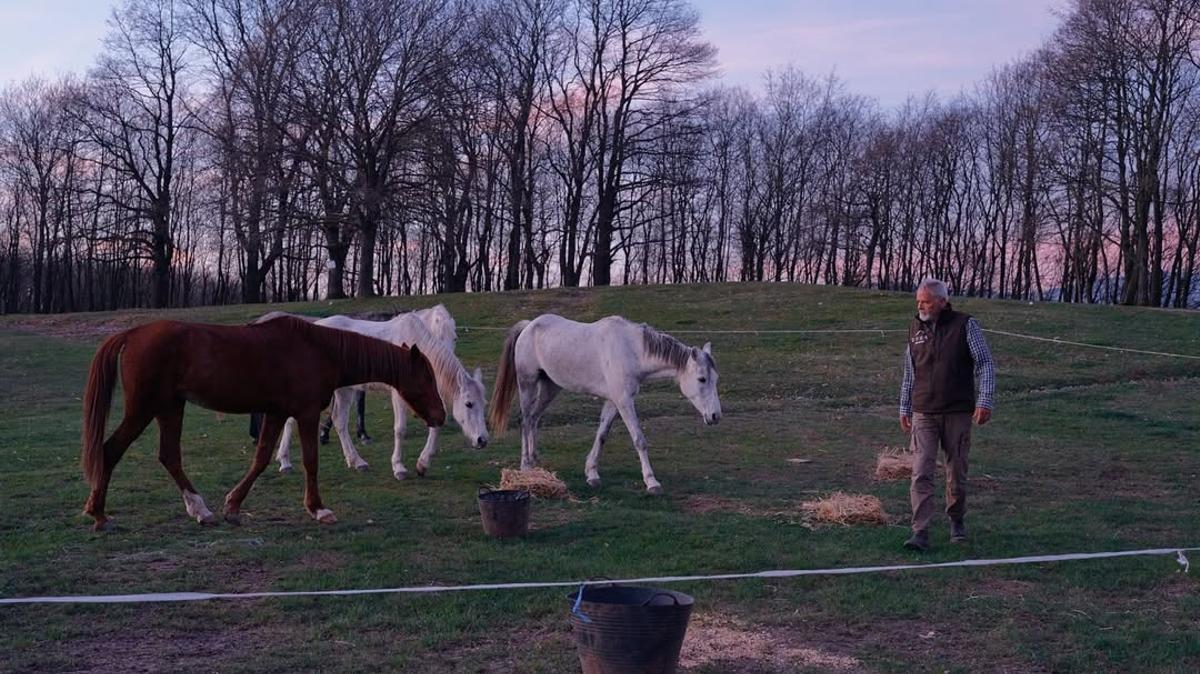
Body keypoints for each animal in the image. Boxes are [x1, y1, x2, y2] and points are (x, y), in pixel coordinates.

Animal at [79, 316, 445, 531]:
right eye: (427, 377)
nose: (440, 415)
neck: (319, 349)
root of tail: (133, 334)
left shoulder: (276, 413)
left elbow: (261, 458)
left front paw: (232, 505)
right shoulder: (306, 413)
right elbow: (310, 461)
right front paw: (318, 509)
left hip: (170, 408)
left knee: (168, 456)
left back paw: (199, 510)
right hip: (145, 408)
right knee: (111, 450)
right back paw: (99, 513)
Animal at [274, 306, 487, 480]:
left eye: (483, 404)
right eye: (469, 404)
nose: (482, 440)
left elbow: (435, 424)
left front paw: (422, 464)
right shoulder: (399, 395)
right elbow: (400, 429)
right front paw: (399, 468)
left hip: (344, 389)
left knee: (339, 421)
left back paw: (356, 461)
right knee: (293, 419)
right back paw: (285, 462)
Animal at [489, 314, 721, 494]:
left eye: (715, 379)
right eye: (702, 379)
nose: (715, 416)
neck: (631, 350)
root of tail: (529, 326)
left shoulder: (613, 401)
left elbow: (601, 436)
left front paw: (592, 474)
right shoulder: (624, 400)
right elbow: (639, 440)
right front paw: (651, 482)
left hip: (550, 387)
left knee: (535, 418)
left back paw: (535, 460)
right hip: (527, 384)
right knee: (526, 420)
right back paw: (526, 466)